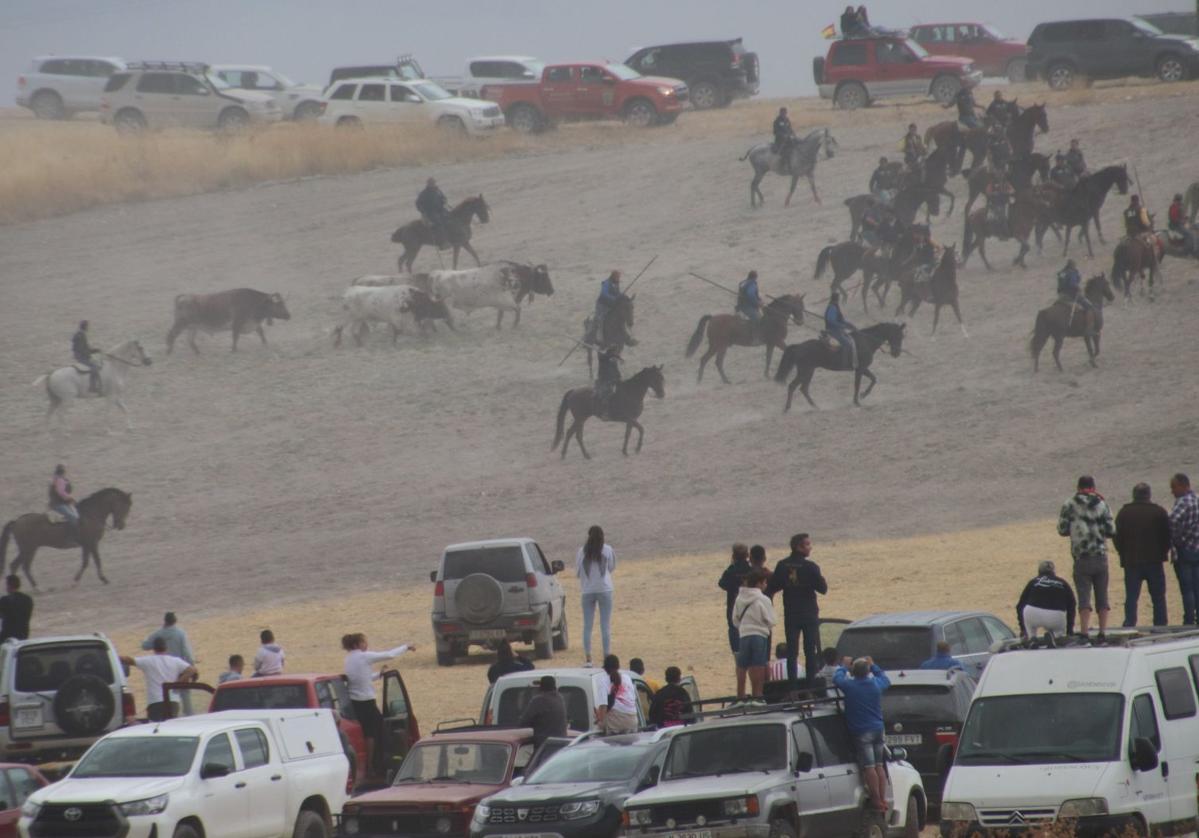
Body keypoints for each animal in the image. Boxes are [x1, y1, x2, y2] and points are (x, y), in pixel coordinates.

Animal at [0, 484, 131, 589]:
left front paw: (99, 579)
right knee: (22, 566)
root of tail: (17, 521)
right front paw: (79, 581)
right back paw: (37, 588)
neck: (91, 515)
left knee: (17, 565)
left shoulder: (88, 545)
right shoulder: (91, 543)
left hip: (27, 549)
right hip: (28, 549)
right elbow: (93, 561)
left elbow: (89, 561)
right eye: (124, 507)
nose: (121, 526)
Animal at [772, 318, 901, 412]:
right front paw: (858, 400)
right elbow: (860, 384)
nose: (897, 353)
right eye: (899, 336)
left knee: (803, 388)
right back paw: (788, 408)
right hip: (805, 371)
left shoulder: (862, 369)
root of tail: (799, 346)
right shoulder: (860, 369)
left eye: (902, 336)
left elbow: (873, 379)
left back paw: (815, 406)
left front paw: (862, 396)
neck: (866, 341)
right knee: (793, 386)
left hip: (808, 371)